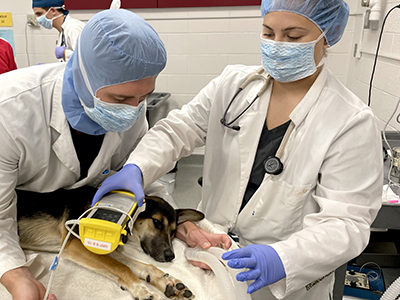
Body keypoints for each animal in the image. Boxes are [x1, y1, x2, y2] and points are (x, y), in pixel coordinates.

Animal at [16, 188, 205, 300]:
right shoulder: (75, 244)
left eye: (173, 232)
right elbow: (123, 267)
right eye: (157, 222)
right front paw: (144, 290)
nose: (170, 256)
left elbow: (141, 266)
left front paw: (167, 282)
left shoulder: (103, 247)